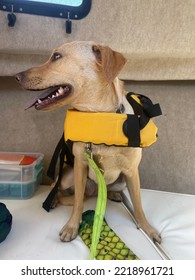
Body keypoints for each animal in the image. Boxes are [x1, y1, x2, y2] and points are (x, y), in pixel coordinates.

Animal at [15, 41, 161, 243]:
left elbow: (138, 205)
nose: (16, 77)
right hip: (67, 176)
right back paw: (53, 199)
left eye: (56, 56)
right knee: (58, 188)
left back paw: (114, 193)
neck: (99, 117)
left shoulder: (132, 172)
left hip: (122, 182)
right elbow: (77, 203)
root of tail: (95, 192)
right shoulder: (80, 166)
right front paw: (71, 226)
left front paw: (148, 228)